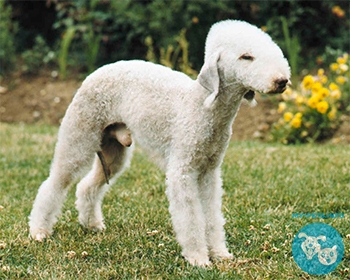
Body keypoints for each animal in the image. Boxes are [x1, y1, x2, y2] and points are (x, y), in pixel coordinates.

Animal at [29, 20, 290, 266]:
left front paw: (219, 254)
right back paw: (38, 231)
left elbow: (212, 216)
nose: (282, 81)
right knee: (54, 183)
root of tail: (96, 71)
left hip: (113, 152)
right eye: (246, 57)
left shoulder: (209, 172)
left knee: (87, 186)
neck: (203, 106)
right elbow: (191, 217)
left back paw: (92, 224)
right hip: (79, 137)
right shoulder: (182, 171)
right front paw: (198, 258)